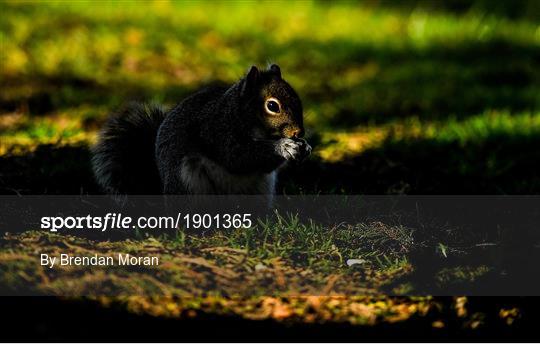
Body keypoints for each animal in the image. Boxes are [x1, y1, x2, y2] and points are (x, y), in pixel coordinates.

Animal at [93, 62, 312, 195]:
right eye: (272, 106)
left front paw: (304, 146)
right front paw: (284, 146)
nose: (298, 133)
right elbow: (237, 157)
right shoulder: (216, 129)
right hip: (190, 184)